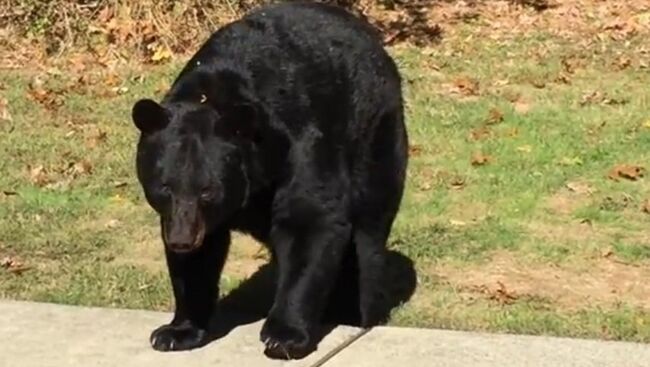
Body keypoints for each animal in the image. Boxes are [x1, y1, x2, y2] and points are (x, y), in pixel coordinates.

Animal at [130, 0, 408, 362]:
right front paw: (176, 331)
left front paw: (284, 336)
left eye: (208, 191)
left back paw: (353, 310)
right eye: (164, 187)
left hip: (373, 137)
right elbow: (196, 263)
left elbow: (310, 220)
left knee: (366, 236)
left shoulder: (300, 144)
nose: (182, 239)